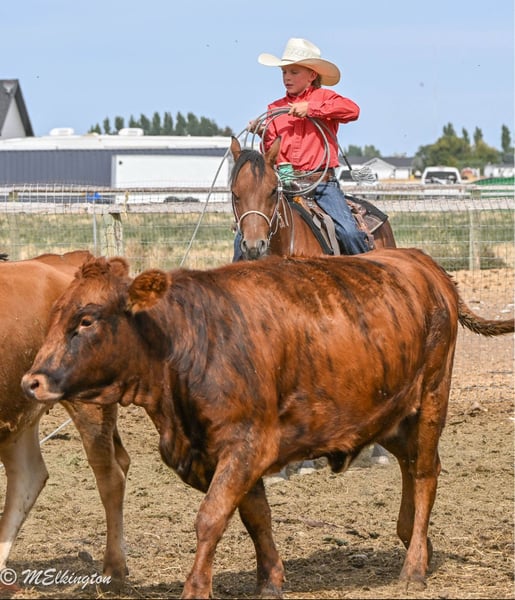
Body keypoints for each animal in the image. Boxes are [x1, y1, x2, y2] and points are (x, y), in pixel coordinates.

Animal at [21, 249, 514, 599]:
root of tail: (427, 266)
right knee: (412, 468)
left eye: (86, 319)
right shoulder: (228, 452)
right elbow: (256, 515)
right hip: (392, 417)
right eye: (54, 315)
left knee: (427, 473)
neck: (188, 340)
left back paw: (413, 568)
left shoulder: (245, 445)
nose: (32, 381)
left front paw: (196, 588)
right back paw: (416, 541)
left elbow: (212, 517)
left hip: (431, 400)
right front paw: (270, 579)